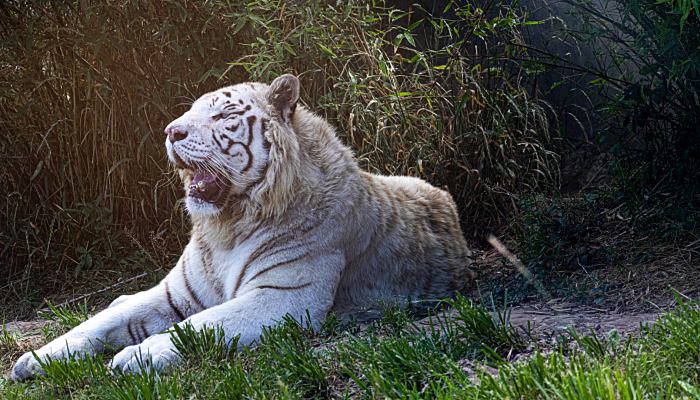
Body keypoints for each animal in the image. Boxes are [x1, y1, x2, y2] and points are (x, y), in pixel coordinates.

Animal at [10, 74, 474, 378]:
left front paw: (138, 355)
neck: (227, 226)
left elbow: (201, 325)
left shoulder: (285, 296)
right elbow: (95, 324)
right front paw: (34, 360)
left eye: (222, 117)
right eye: (189, 112)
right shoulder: (174, 293)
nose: (170, 131)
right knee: (117, 303)